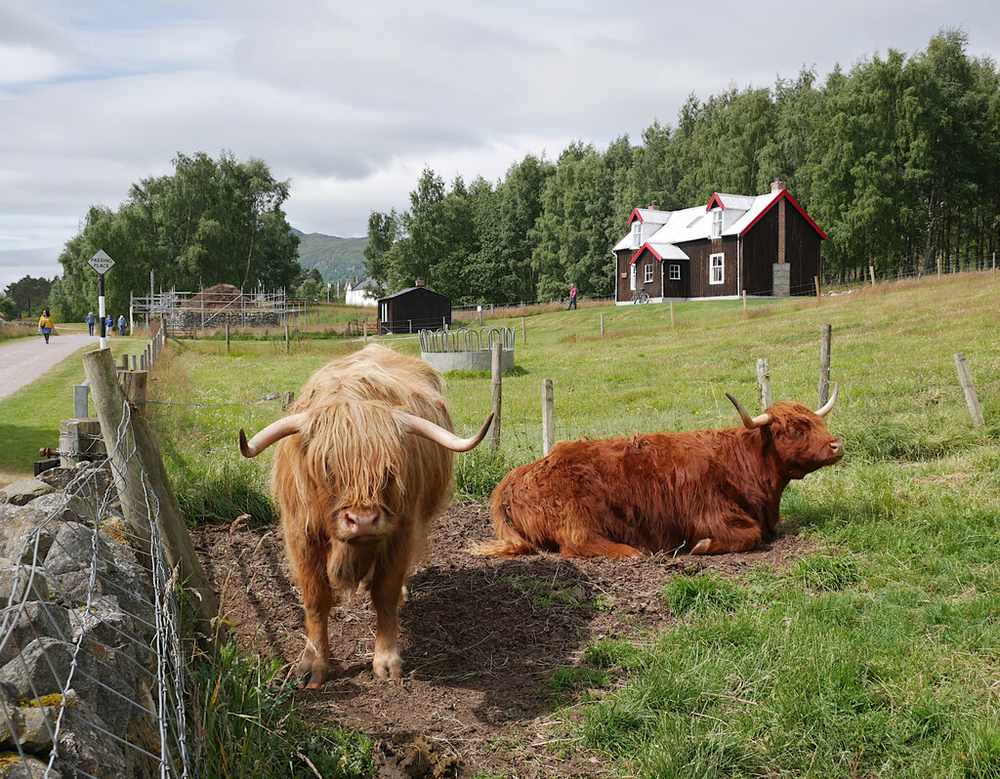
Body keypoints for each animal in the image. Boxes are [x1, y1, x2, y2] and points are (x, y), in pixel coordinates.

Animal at [239, 344, 492, 688]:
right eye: (327, 466)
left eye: (388, 470)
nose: (363, 521)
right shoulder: (300, 535)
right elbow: (315, 599)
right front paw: (313, 665)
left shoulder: (401, 532)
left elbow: (385, 593)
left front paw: (386, 661)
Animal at [474, 388, 841, 559]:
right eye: (794, 429)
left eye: (817, 421)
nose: (837, 444)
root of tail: (513, 478)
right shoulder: (710, 514)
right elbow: (749, 534)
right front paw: (702, 546)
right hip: (576, 514)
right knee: (577, 544)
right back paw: (634, 551)